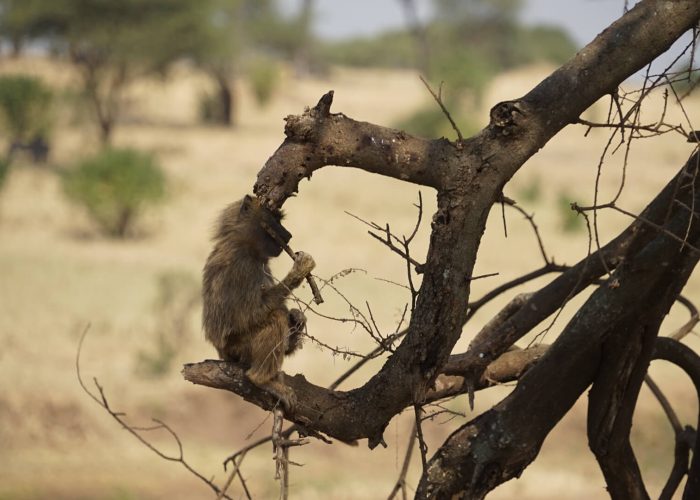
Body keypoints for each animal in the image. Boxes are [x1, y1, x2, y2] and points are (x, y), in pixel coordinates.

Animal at [202, 195, 315, 411]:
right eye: (275, 220)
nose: (288, 235)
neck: (244, 244)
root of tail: (222, 354)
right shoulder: (241, 267)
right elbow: (247, 316)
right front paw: (301, 269)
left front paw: (298, 318)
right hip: (239, 348)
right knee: (275, 318)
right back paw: (262, 379)